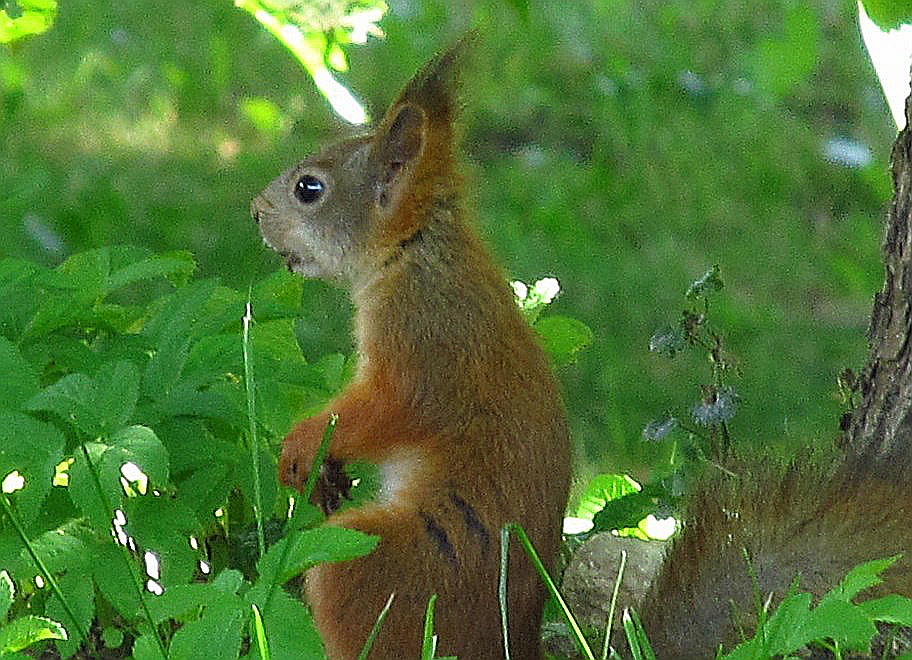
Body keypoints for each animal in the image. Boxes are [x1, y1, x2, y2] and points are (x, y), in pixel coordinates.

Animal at [249, 42, 568, 660]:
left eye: (309, 188)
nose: (254, 209)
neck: (414, 250)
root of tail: (508, 639)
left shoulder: (416, 334)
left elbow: (390, 404)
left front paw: (302, 447)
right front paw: (324, 472)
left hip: (384, 570)